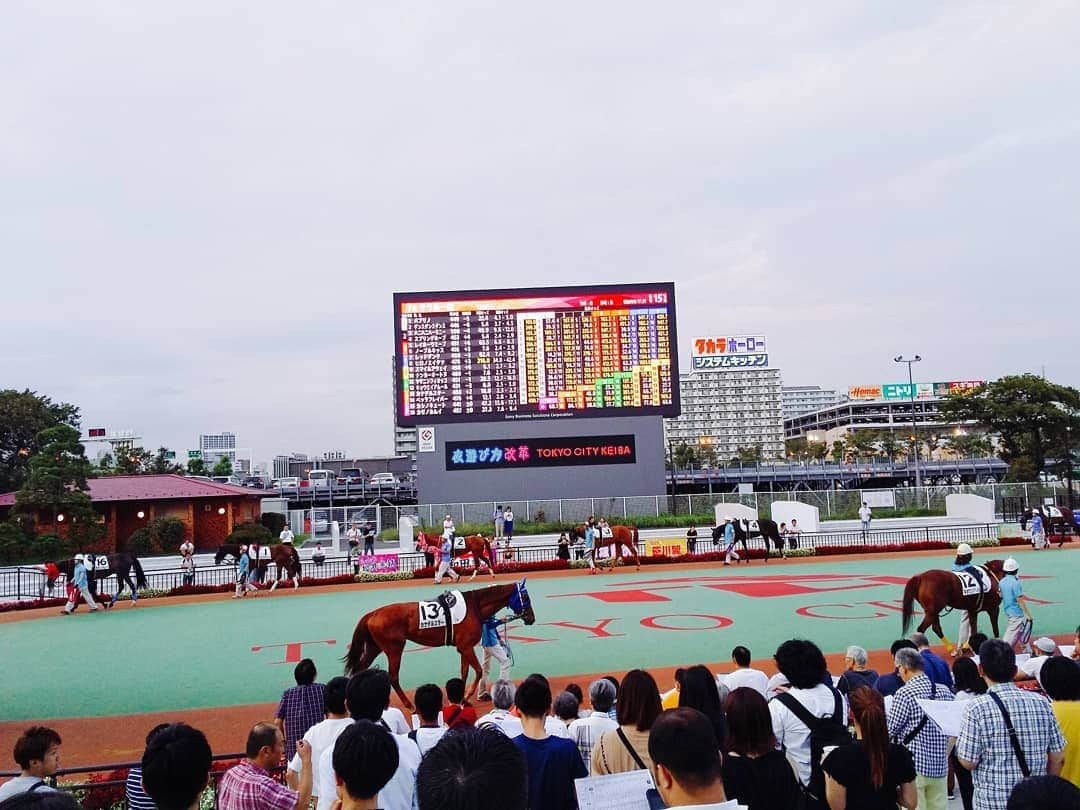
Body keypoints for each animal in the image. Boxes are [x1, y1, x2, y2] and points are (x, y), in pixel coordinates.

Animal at [343, 578, 533, 708]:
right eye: (525, 596)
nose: (532, 618)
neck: (474, 606)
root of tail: (373, 613)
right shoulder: (466, 647)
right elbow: (478, 671)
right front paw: (466, 696)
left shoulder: (463, 648)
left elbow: (464, 672)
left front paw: (460, 698)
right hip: (394, 649)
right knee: (393, 677)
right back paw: (409, 705)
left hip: (374, 647)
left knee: (359, 669)